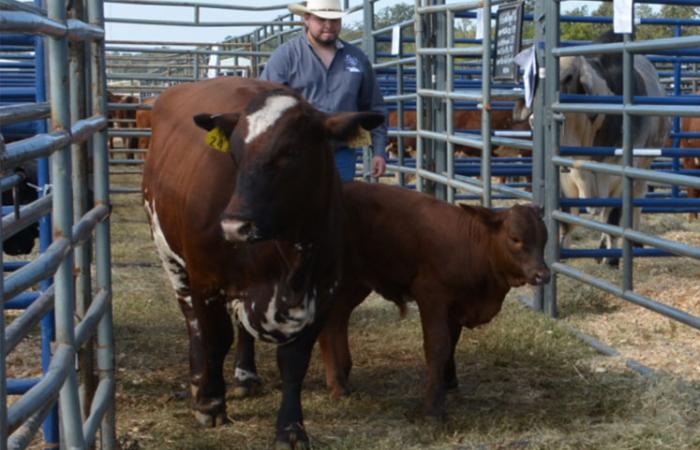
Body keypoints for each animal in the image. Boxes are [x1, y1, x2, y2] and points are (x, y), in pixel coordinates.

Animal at [142, 76, 383, 448]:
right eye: (234, 154)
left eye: (290, 152)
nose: (234, 226)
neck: (289, 252)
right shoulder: (206, 281)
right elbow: (215, 339)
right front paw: (211, 404)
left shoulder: (323, 290)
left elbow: (294, 360)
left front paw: (291, 428)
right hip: (170, 256)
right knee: (192, 320)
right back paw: (198, 379)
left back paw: (245, 374)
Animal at [233, 182, 550, 420]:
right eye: (515, 238)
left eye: (544, 238)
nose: (542, 274)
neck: (472, 246)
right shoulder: (432, 296)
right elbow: (438, 346)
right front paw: (433, 408)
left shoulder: (456, 305)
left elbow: (452, 342)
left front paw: (449, 382)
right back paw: (335, 383)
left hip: (353, 284)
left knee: (336, 322)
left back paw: (342, 377)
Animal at [515, 31, 670, 265]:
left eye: (569, 76)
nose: (534, 118)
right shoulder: (563, 178)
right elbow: (566, 221)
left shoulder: (621, 175)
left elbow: (613, 219)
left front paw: (612, 258)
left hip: (643, 167)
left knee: (636, 201)